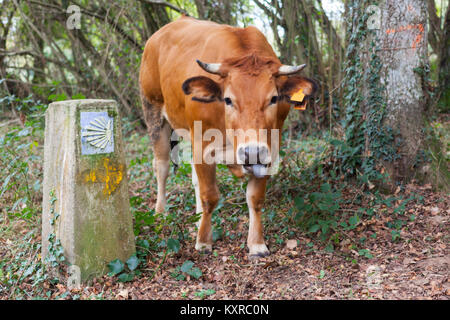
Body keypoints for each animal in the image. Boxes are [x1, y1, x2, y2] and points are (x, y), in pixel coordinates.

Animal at [139, 16, 318, 258]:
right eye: (228, 99)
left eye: (273, 98)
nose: (251, 153)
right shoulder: (202, 145)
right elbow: (210, 196)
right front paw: (204, 241)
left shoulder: (269, 147)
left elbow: (255, 198)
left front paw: (257, 243)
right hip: (153, 111)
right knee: (162, 166)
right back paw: (161, 213)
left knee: (193, 178)